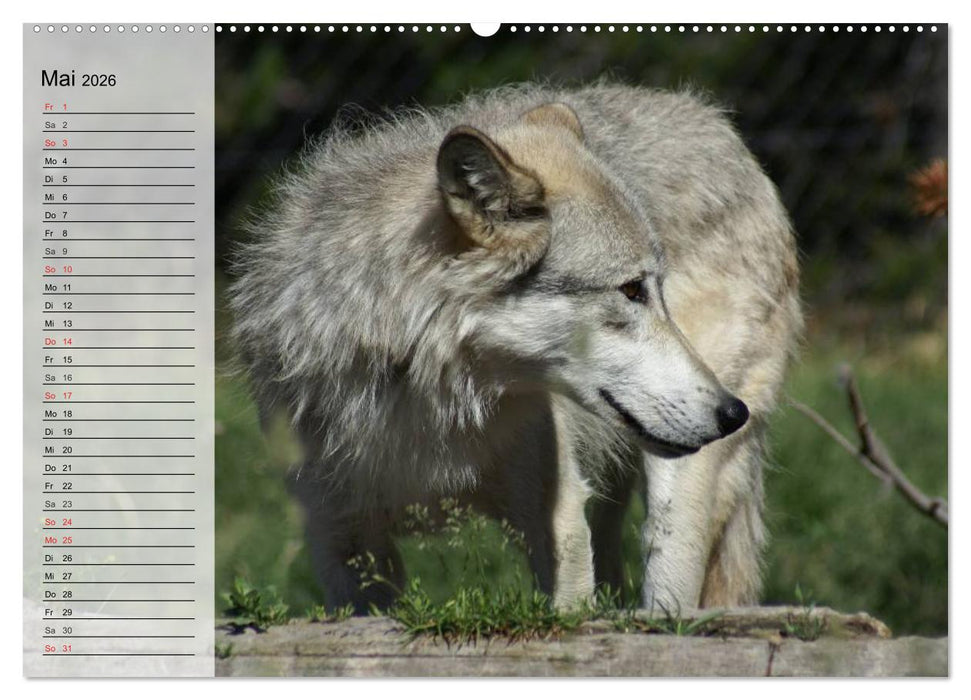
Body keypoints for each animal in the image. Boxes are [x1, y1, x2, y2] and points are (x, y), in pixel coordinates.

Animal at [229, 83, 802, 613]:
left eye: (657, 289)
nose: (733, 412)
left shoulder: (558, 520)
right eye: (632, 290)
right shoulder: (342, 543)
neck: (426, 397)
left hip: (679, 487)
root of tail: (720, 126)